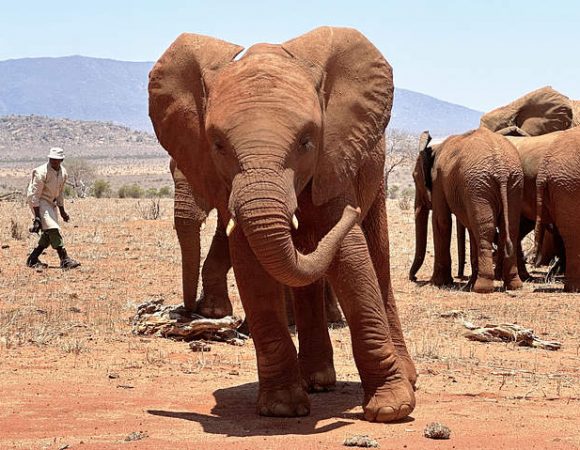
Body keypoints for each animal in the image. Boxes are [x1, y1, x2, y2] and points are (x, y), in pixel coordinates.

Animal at [147, 28, 414, 422]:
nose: (186, 311)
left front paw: (391, 409)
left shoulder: (333, 157)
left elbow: (352, 257)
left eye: (307, 141)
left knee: (376, 260)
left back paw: (405, 379)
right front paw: (282, 408)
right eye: (218, 144)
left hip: (373, 170)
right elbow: (251, 262)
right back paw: (317, 381)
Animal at [408, 128, 524, 294]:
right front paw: (465, 283)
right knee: (510, 228)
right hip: (513, 184)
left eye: (414, 177)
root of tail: (501, 170)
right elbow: (469, 227)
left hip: (479, 185)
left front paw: (438, 283)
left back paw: (482, 288)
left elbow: (441, 221)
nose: (414, 278)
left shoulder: (438, 181)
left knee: (485, 230)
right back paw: (514, 285)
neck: (434, 148)